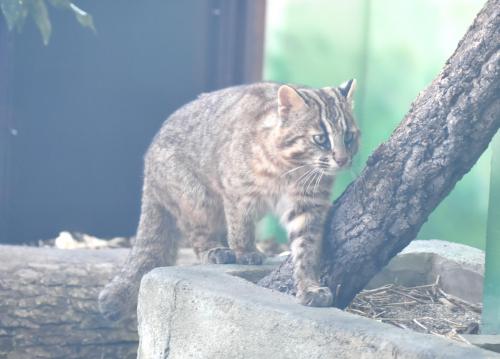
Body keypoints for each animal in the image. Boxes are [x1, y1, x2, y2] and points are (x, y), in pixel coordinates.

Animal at [98, 81, 360, 320]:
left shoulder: (307, 206)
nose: (342, 159)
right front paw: (245, 251)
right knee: (196, 232)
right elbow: (240, 225)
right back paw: (215, 249)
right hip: (196, 196)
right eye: (320, 139)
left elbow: (306, 247)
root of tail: (148, 162)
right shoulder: (238, 191)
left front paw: (309, 285)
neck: (291, 169)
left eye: (348, 137)